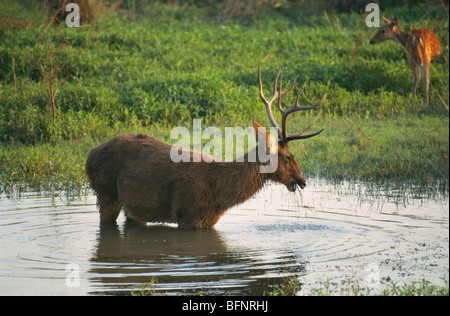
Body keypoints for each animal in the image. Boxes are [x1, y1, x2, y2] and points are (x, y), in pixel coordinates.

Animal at [84, 63, 326, 228]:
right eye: (288, 156)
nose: (303, 181)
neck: (219, 197)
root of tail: (89, 156)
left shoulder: (206, 221)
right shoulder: (189, 216)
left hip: (132, 208)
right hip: (105, 192)